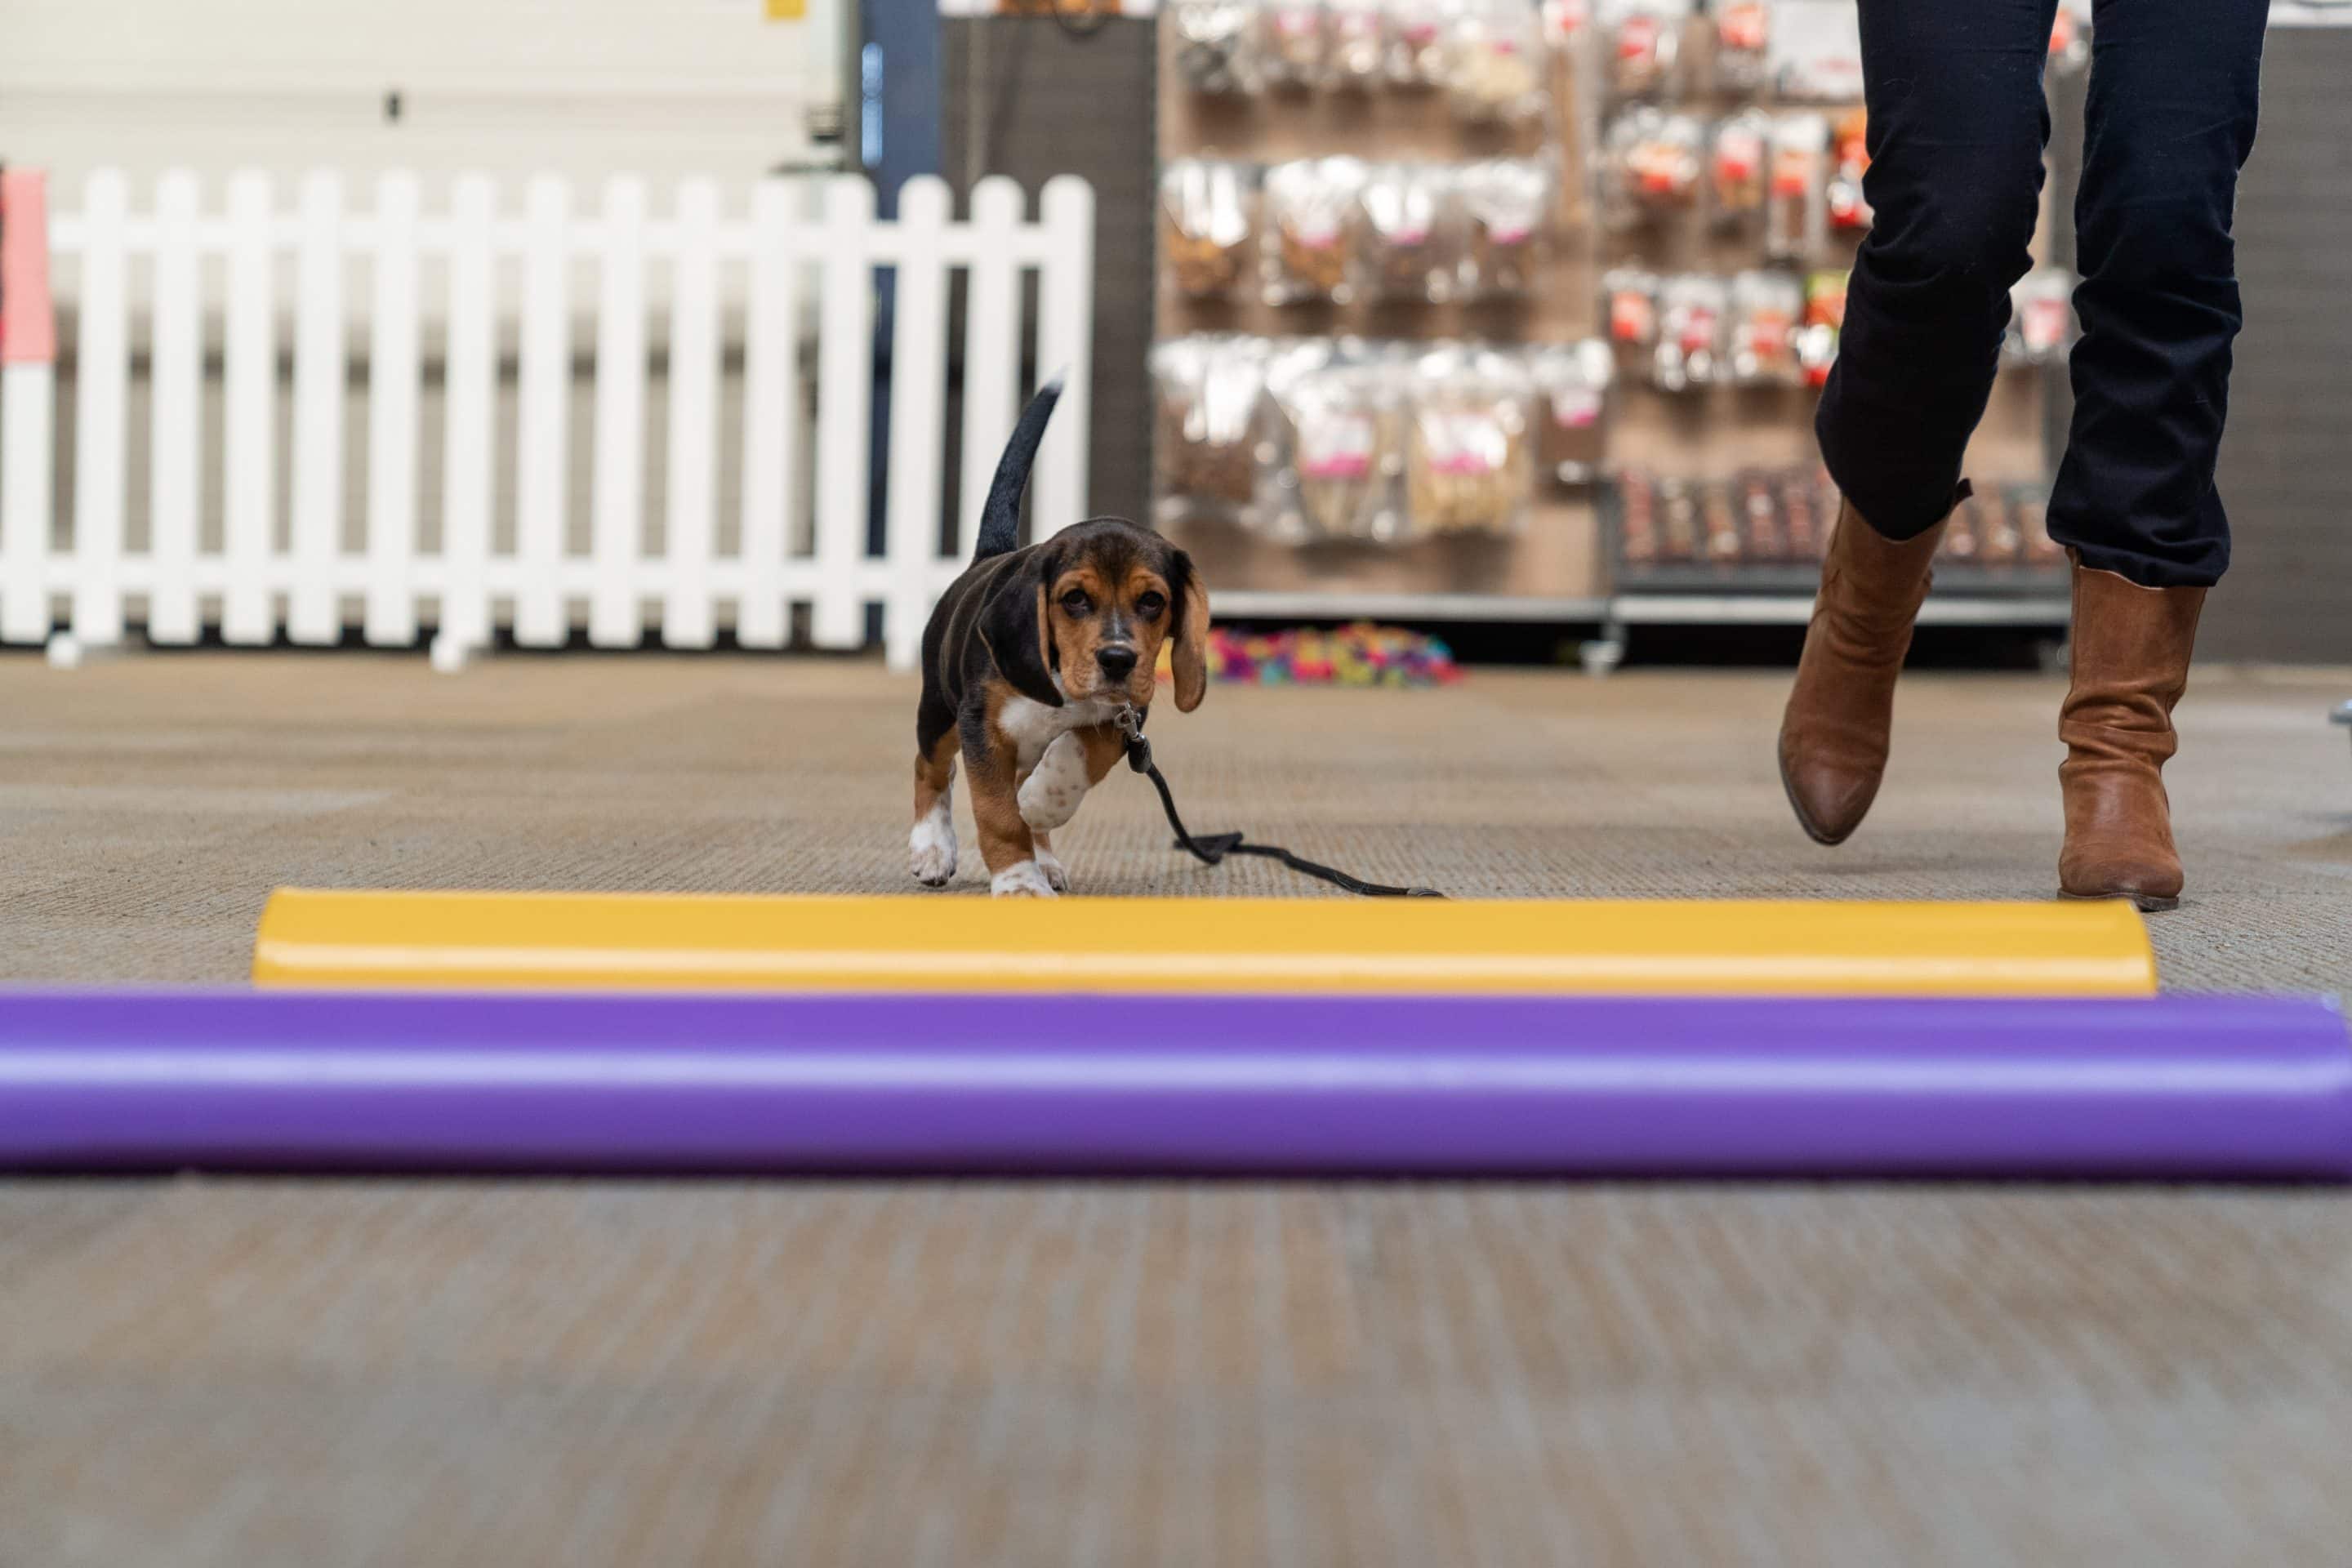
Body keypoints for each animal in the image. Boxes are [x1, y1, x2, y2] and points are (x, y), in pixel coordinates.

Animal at [912, 376, 1214, 893]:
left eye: (1153, 601)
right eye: (1074, 598)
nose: (1118, 660)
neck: (1059, 682)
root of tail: (986, 556)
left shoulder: (1125, 719)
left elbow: (1079, 752)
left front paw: (1041, 806)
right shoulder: (980, 725)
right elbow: (998, 814)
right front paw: (1019, 883)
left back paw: (1045, 855)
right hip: (939, 711)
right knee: (930, 768)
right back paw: (932, 847)